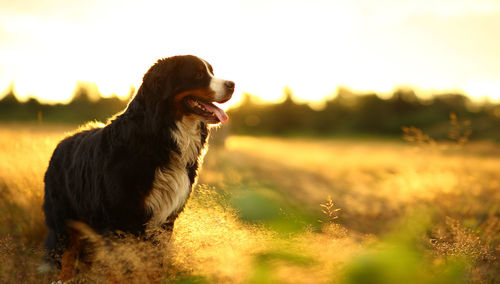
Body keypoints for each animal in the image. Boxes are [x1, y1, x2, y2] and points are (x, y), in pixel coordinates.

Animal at [41, 55, 234, 280]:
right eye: (198, 74)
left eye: (211, 72)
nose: (232, 84)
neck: (160, 136)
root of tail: (62, 141)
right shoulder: (122, 219)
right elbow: (123, 269)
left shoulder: (165, 221)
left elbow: (154, 267)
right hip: (62, 221)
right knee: (63, 258)